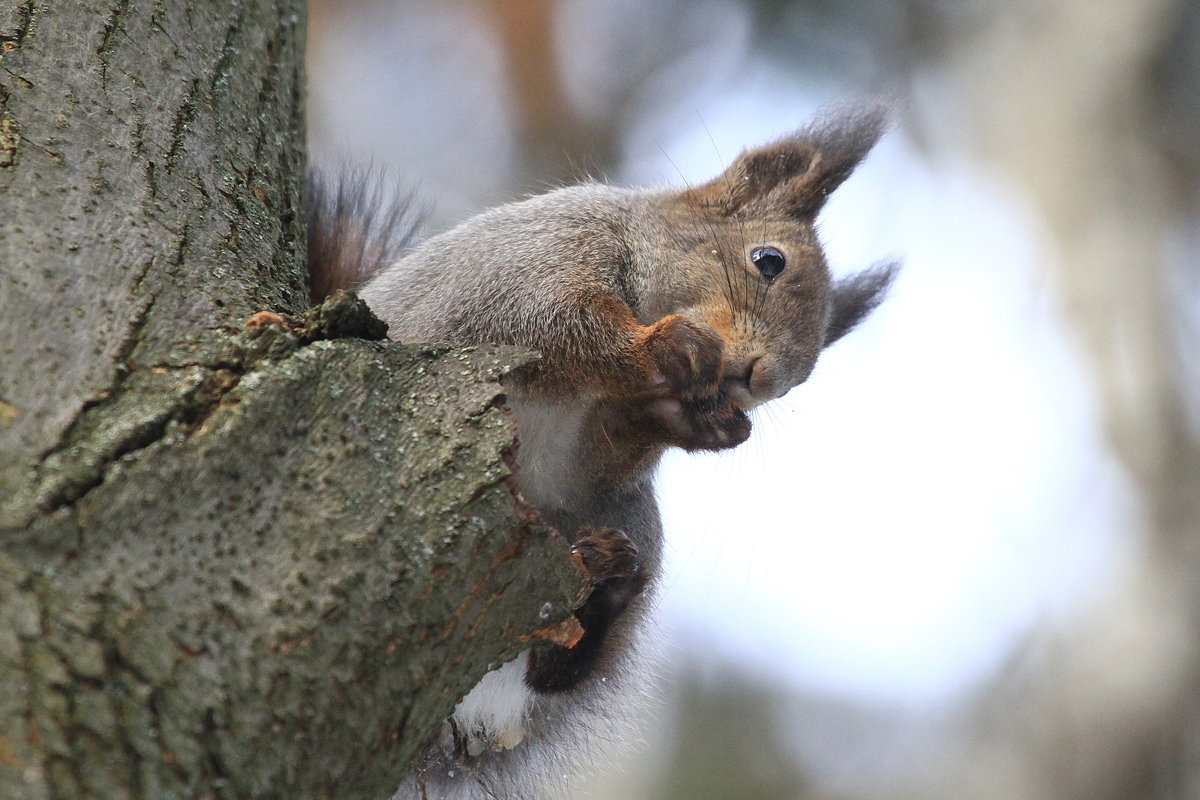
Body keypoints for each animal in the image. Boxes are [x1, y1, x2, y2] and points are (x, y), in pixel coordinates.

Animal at [309, 106, 902, 800]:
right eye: (768, 260)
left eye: (802, 379)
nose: (761, 381)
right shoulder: (532, 263)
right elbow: (561, 320)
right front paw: (665, 347)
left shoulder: (601, 450)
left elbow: (609, 444)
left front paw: (690, 420)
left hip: (627, 519)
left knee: (555, 674)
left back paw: (605, 591)